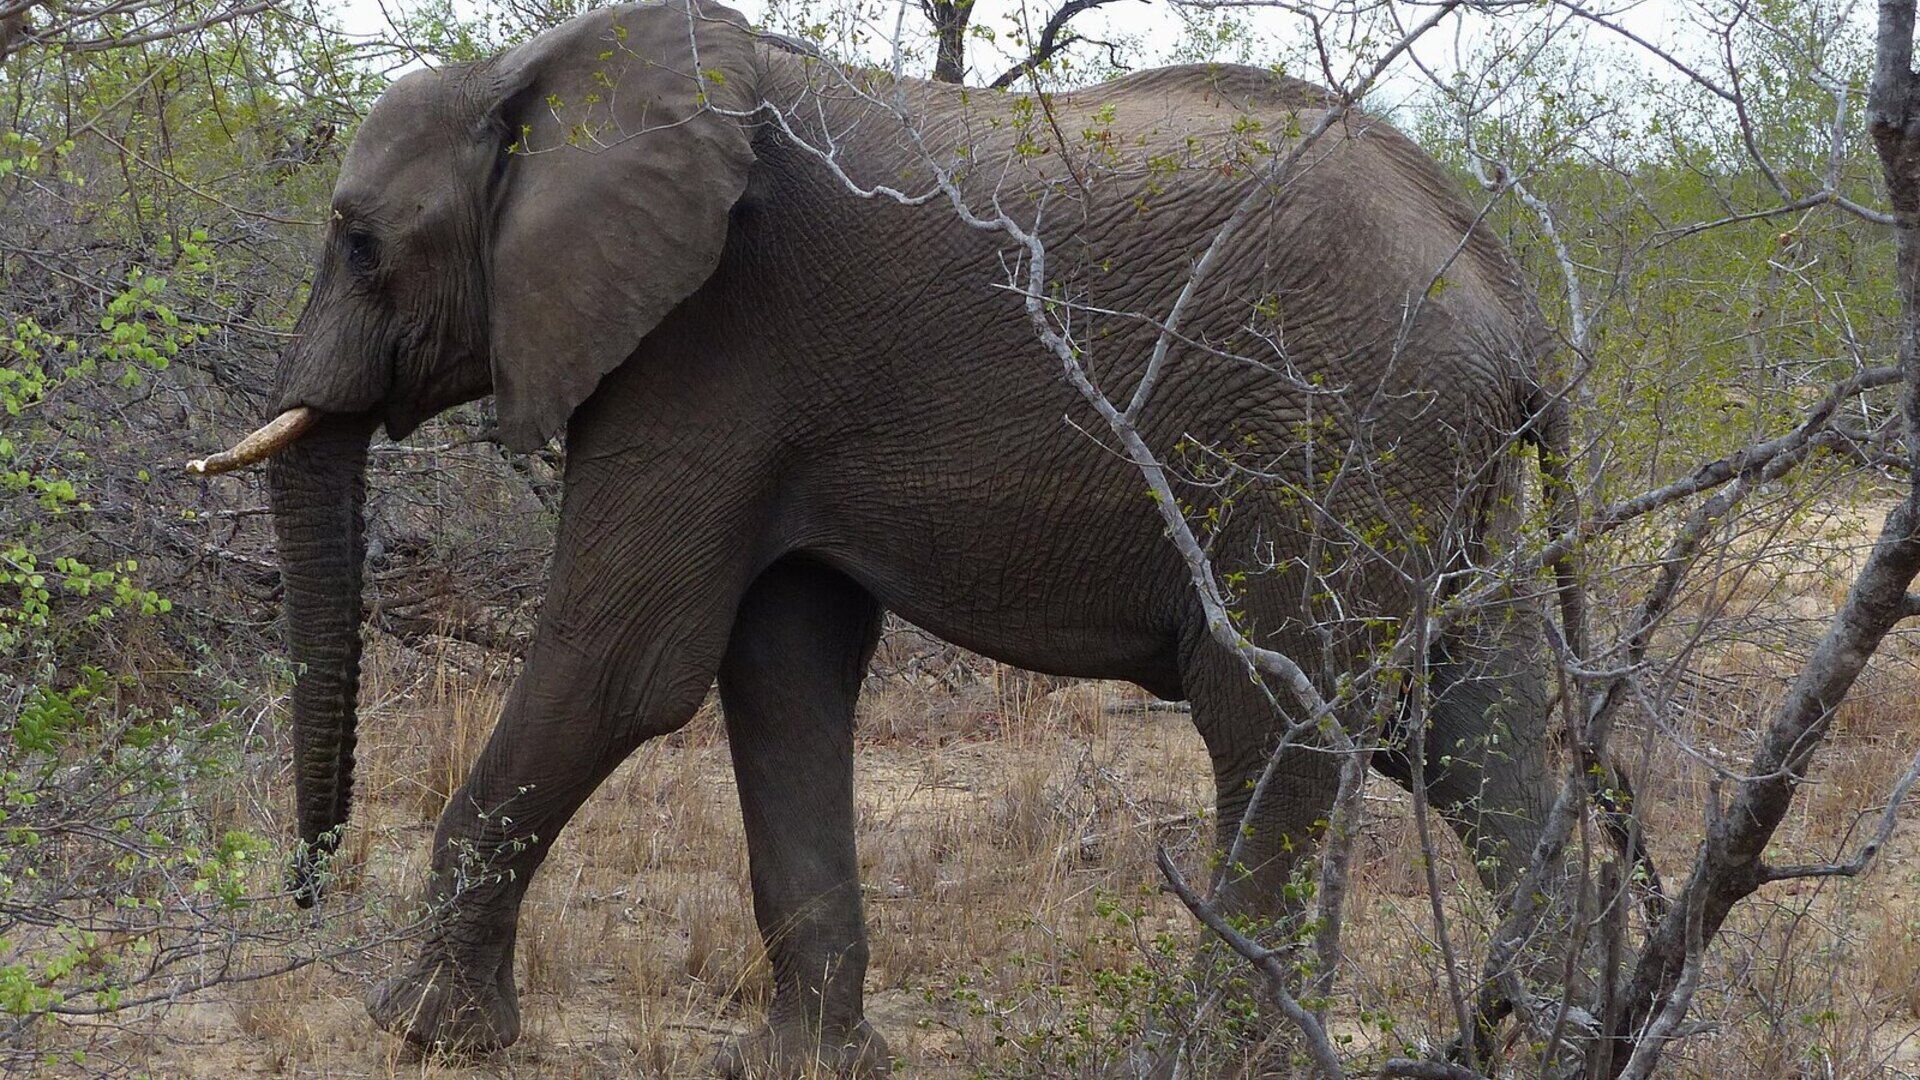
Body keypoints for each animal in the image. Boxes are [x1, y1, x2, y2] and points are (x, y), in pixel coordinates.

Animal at [190, 0, 1570, 1073]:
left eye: (359, 242)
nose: (306, 890)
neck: (541, 68)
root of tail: (1513, 303)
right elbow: (779, 673)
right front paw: (802, 1062)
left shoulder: (708, 345)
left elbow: (622, 667)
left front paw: (415, 1031)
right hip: (1430, 470)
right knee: (1471, 728)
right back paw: (1560, 1034)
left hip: (1329, 438)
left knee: (1281, 730)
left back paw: (1206, 1058)